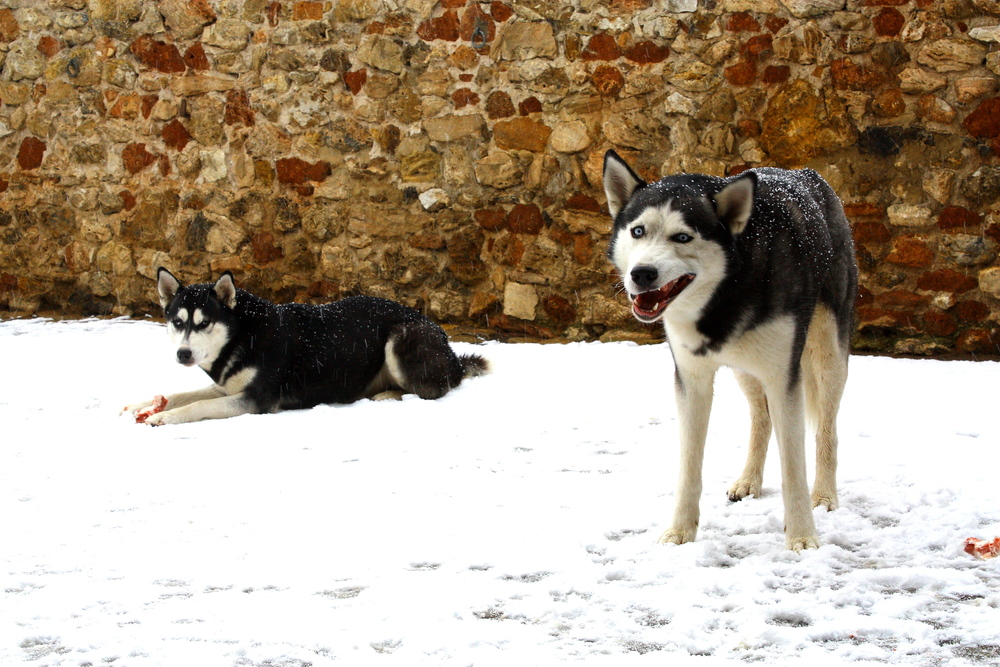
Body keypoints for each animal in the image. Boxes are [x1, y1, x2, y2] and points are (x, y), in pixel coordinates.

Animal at [125, 268, 488, 426]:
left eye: (204, 323)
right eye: (178, 322)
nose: (183, 354)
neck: (243, 335)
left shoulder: (257, 399)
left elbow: (197, 406)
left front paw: (164, 417)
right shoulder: (227, 387)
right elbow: (183, 394)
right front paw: (142, 405)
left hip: (400, 339)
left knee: (432, 388)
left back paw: (387, 395)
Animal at [604, 153, 856, 552]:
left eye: (683, 236)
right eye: (638, 231)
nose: (642, 273)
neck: (726, 292)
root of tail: (806, 173)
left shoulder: (784, 377)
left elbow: (794, 468)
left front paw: (802, 536)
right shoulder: (691, 380)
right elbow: (689, 466)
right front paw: (680, 531)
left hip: (827, 356)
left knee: (826, 432)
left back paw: (824, 496)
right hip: (745, 367)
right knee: (760, 420)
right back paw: (749, 480)